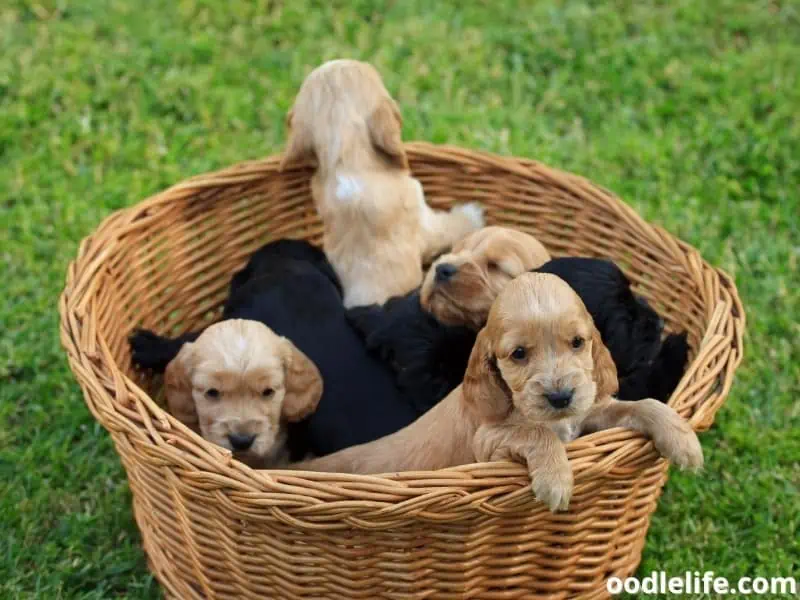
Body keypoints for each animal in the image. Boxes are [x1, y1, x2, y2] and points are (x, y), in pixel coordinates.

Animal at [292, 272, 700, 510]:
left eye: (577, 342)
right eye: (518, 354)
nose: (560, 398)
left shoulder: (586, 414)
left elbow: (642, 403)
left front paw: (683, 439)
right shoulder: (487, 441)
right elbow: (535, 434)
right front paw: (556, 480)